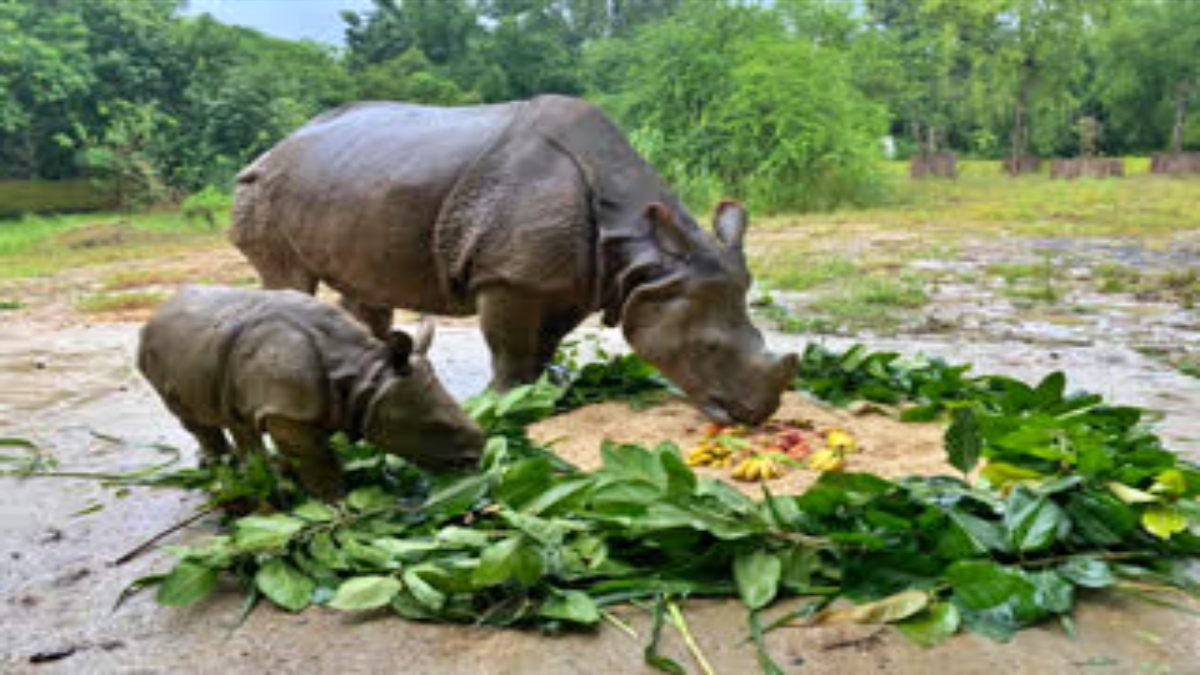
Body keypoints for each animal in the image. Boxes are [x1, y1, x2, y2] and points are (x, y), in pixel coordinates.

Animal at [138, 285, 484, 499]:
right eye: (437, 426)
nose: (475, 462)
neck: (366, 376)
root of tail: (159, 310)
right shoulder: (289, 408)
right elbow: (318, 457)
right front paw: (334, 501)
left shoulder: (308, 405)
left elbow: (310, 448)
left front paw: (291, 476)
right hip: (153, 350)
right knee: (192, 418)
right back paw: (220, 467)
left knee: (235, 418)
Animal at [232, 95, 797, 425]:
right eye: (708, 348)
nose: (756, 416)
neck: (642, 253)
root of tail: (274, 147)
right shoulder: (509, 276)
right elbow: (508, 344)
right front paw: (499, 404)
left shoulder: (576, 281)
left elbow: (542, 344)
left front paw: (541, 395)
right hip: (261, 188)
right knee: (288, 279)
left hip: (355, 183)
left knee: (365, 284)